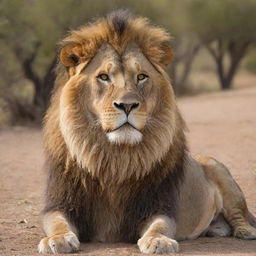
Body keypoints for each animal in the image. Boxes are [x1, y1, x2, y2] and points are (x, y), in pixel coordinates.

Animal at [38, 9, 256, 254]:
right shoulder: (60, 202)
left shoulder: (159, 205)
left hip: (222, 173)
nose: (127, 105)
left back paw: (245, 231)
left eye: (141, 76)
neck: (115, 162)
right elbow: (56, 221)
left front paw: (158, 241)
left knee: (240, 215)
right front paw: (57, 239)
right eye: (103, 77)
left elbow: (160, 225)